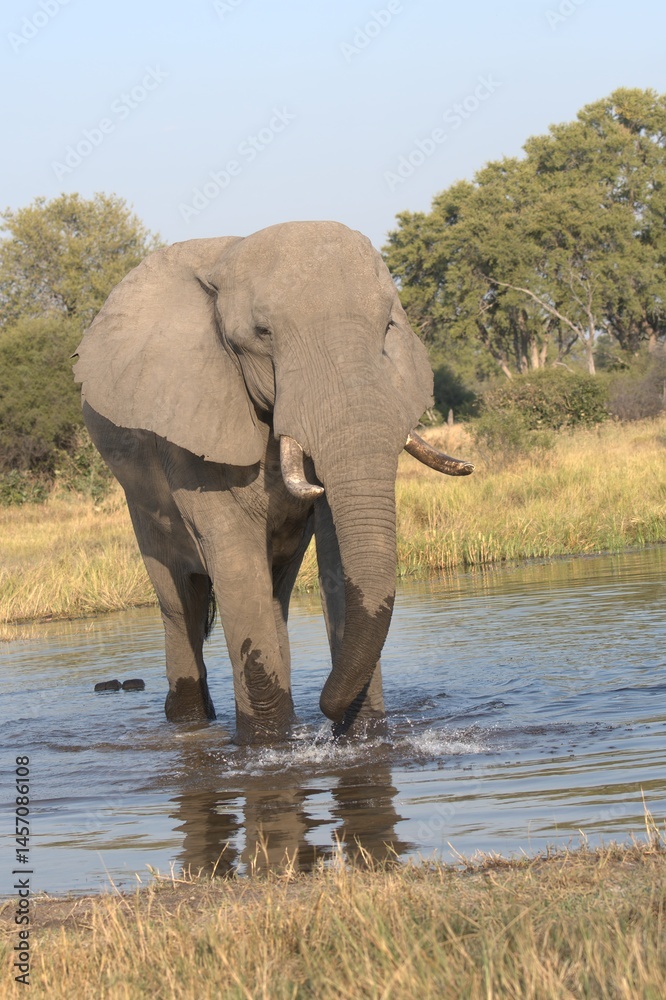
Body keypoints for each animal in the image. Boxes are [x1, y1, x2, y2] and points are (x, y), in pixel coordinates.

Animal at [74, 221, 473, 744]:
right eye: (262, 335)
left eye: (389, 327)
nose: (326, 708)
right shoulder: (190, 422)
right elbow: (235, 559)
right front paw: (269, 746)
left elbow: (337, 551)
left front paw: (361, 737)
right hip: (141, 508)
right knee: (180, 602)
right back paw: (191, 721)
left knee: (273, 595)